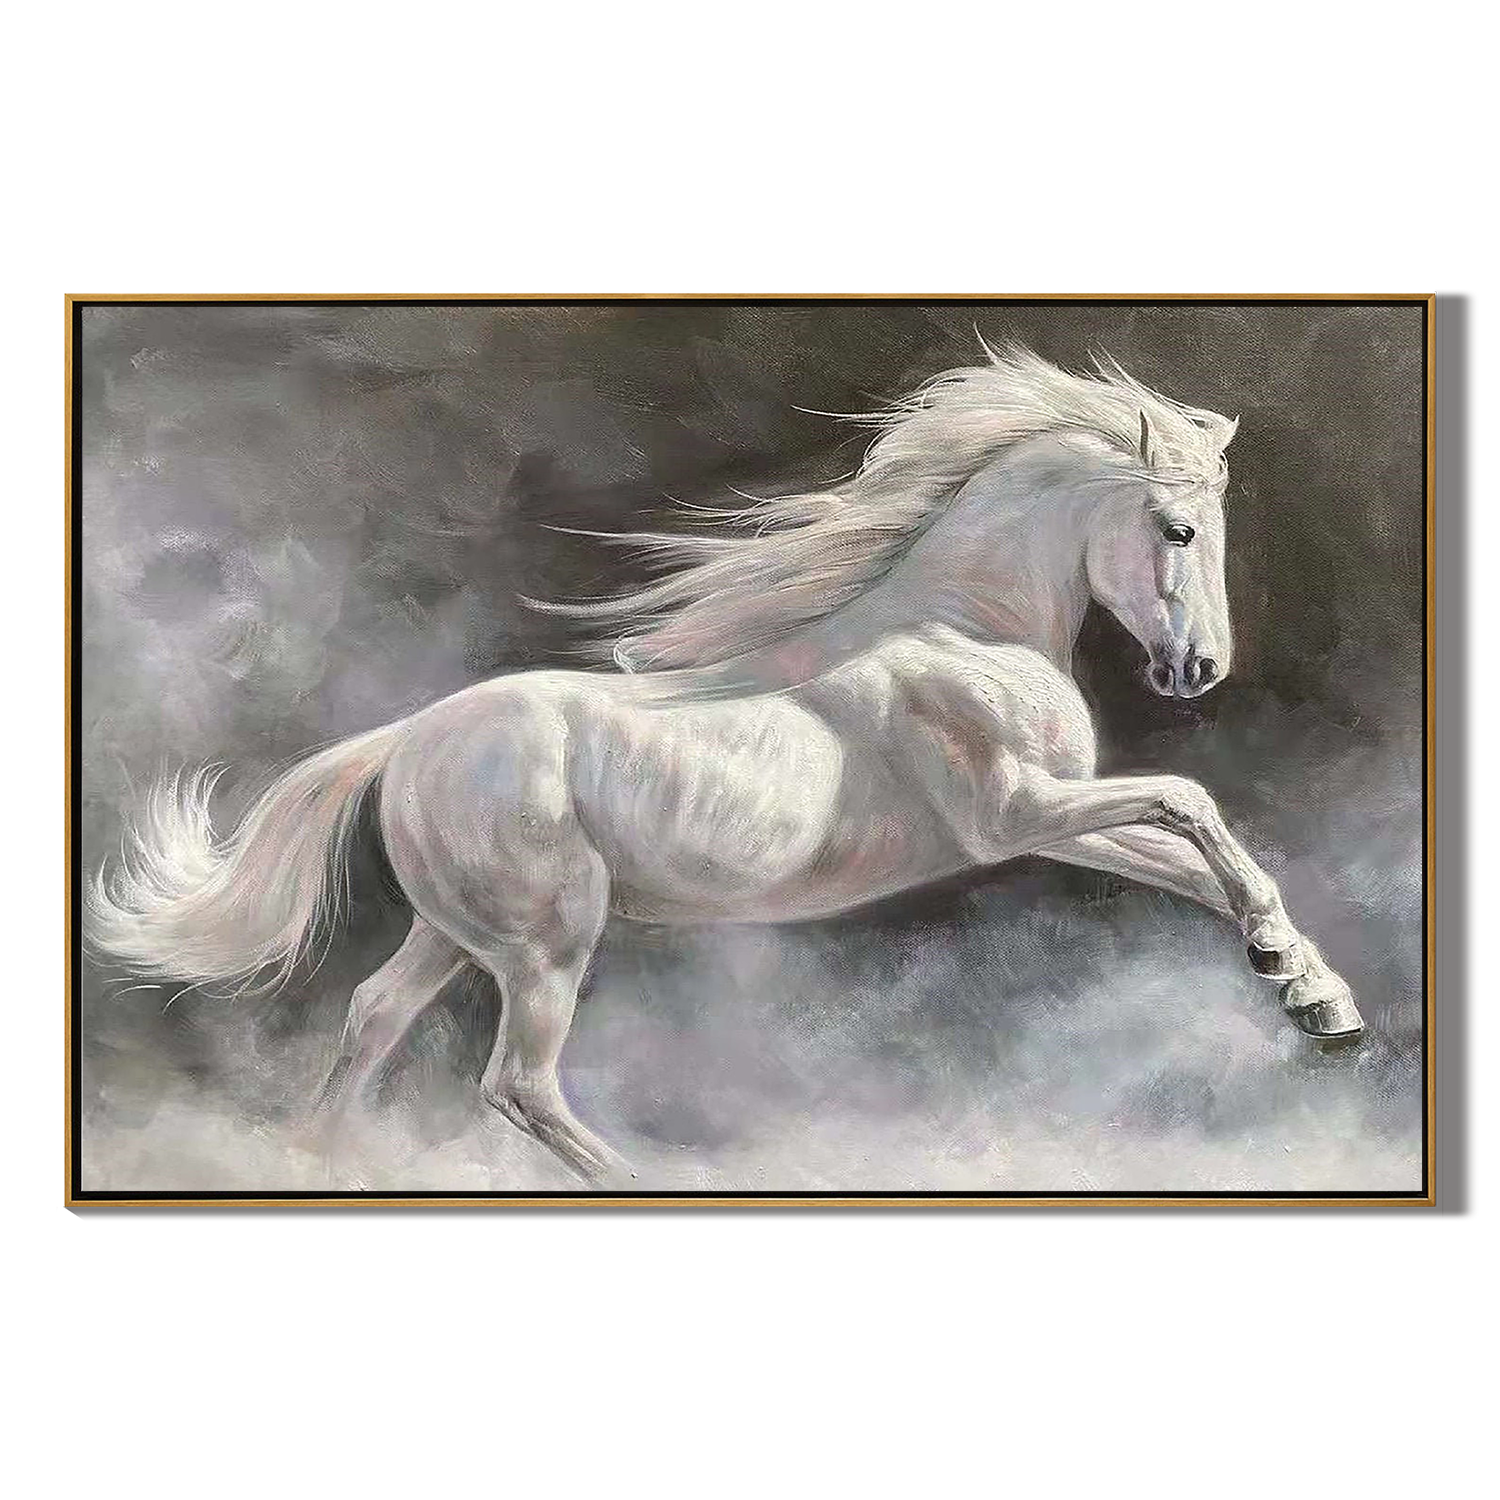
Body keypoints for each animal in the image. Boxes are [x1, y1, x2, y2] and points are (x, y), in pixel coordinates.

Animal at [88, 344, 1364, 1182]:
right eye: (1176, 528)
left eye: (1218, 530)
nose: (1199, 669)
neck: (964, 628)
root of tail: (405, 739)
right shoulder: (1014, 813)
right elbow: (1193, 801)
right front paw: (1302, 981)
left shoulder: (1050, 823)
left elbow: (1194, 862)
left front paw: (1315, 1001)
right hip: (547, 943)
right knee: (516, 1085)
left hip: (457, 934)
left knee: (368, 1019)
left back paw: (315, 1160)